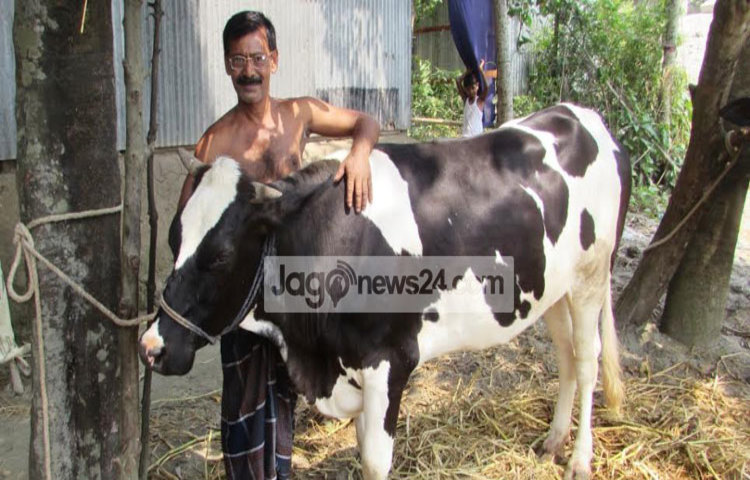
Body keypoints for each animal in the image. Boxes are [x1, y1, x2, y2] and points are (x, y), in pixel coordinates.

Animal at [140, 104, 631, 480]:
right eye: (173, 238)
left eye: (220, 255)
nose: (151, 347)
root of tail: (582, 114)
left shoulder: (390, 361)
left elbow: (376, 462)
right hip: (552, 287)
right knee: (566, 356)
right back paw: (552, 441)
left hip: (591, 278)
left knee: (587, 362)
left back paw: (580, 459)